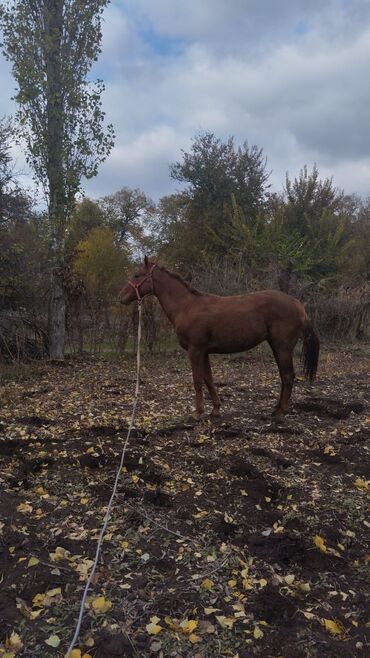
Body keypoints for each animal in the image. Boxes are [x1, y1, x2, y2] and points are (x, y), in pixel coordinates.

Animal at [120, 254, 320, 418]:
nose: (121, 297)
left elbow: (197, 380)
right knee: (283, 376)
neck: (187, 306)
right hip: (276, 346)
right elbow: (208, 379)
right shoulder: (204, 352)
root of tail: (298, 305)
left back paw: (281, 412)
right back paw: (276, 408)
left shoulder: (195, 350)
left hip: (282, 347)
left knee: (288, 376)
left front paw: (198, 413)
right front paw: (215, 409)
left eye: (137, 275)